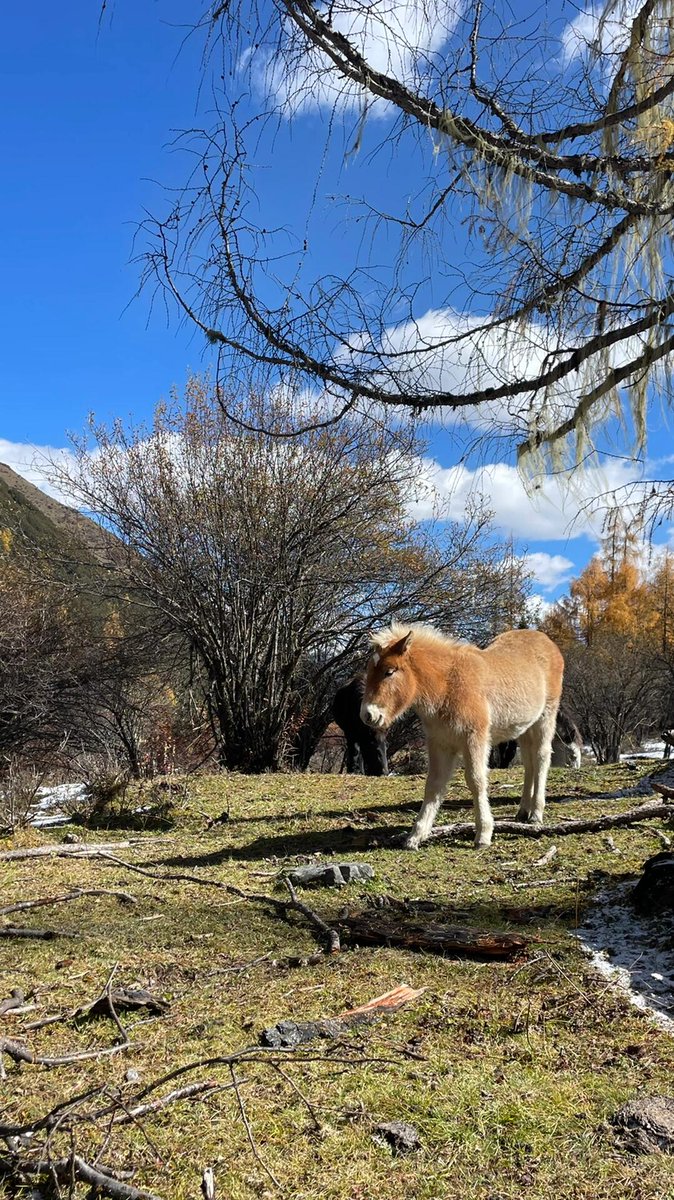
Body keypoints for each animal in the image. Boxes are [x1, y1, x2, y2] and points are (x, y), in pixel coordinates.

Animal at [360, 622, 564, 848]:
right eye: (369, 670)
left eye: (389, 672)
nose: (368, 715)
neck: (448, 685)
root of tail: (548, 642)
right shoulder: (440, 742)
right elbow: (433, 783)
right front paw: (416, 835)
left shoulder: (474, 738)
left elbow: (476, 780)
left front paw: (483, 833)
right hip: (525, 727)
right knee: (529, 762)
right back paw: (523, 811)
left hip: (545, 717)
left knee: (541, 758)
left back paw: (536, 813)